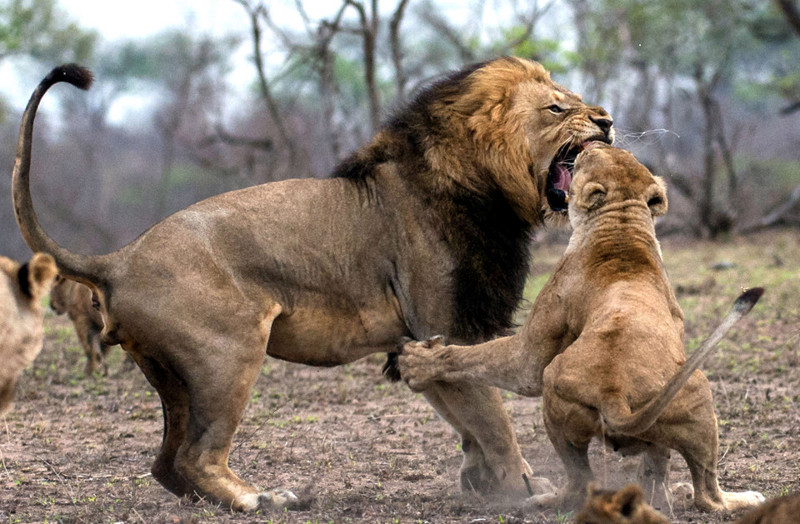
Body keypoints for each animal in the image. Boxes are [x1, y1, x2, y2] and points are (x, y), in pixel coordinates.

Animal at [10, 58, 612, 512]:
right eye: (558, 107)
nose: (606, 121)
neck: (483, 184)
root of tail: (119, 258)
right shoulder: (445, 326)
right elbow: (492, 418)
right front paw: (522, 489)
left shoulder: (423, 338)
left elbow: (465, 416)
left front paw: (483, 481)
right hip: (229, 353)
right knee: (195, 457)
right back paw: (261, 499)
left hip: (174, 376)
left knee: (166, 464)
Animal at [396, 145, 764, 512]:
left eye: (590, 158)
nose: (593, 144)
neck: (623, 228)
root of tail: (613, 393)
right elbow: (656, 463)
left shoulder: (532, 353)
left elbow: (473, 356)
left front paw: (417, 361)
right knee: (665, 473)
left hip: (569, 387)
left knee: (700, 497)